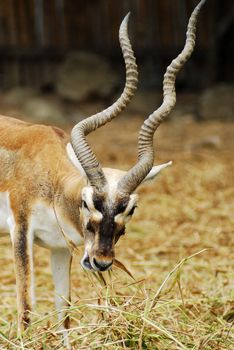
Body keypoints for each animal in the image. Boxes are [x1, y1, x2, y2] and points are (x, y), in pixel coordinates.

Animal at [0, 0, 205, 342]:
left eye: (131, 208)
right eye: (87, 202)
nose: (102, 261)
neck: (51, 179)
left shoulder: (61, 247)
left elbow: (64, 312)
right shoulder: (20, 229)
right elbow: (26, 309)